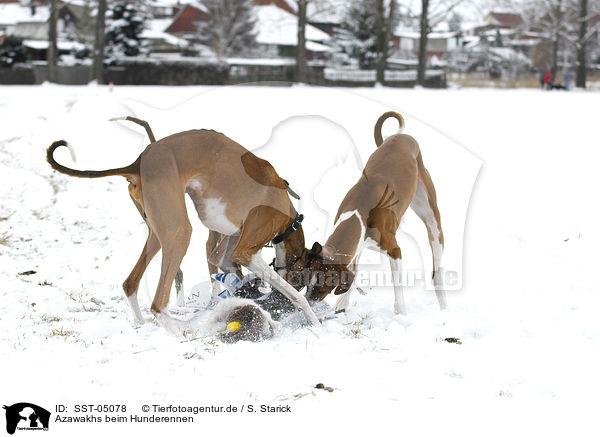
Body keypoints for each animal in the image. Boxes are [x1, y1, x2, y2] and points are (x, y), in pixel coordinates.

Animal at [47, 127, 322, 332]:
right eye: (304, 278)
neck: (289, 221)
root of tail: (137, 163)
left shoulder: (228, 249)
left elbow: (231, 277)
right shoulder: (245, 252)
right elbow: (292, 294)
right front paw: (312, 319)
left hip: (158, 233)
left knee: (130, 283)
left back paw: (142, 324)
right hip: (180, 231)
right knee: (158, 303)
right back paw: (178, 334)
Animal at [300, 109, 446, 314]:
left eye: (322, 289)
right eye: (307, 284)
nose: (305, 307)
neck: (358, 213)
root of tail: (400, 136)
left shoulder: (394, 250)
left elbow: (397, 286)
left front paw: (401, 313)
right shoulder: (358, 246)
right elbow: (354, 273)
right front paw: (343, 303)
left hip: (432, 218)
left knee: (437, 267)